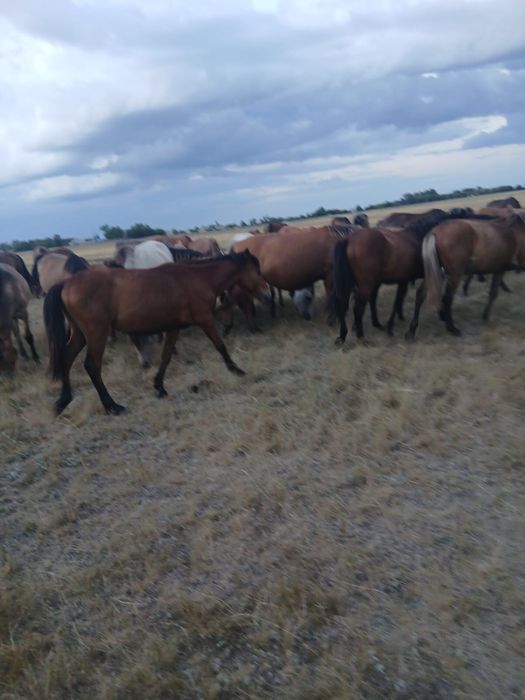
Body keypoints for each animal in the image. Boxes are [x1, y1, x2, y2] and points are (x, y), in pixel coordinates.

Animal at [44, 252, 270, 415]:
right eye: (257, 271)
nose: (267, 295)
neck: (197, 278)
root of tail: (66, 283)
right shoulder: (204, 319)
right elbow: (220, 345)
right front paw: (236, 370)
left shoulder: (173, 327)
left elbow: (166, 355)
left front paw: (159, 386)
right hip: (96, 333)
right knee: (92, 366)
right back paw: (112, 406)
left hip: (80, 334)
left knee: (66, 358)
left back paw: (63, 401)